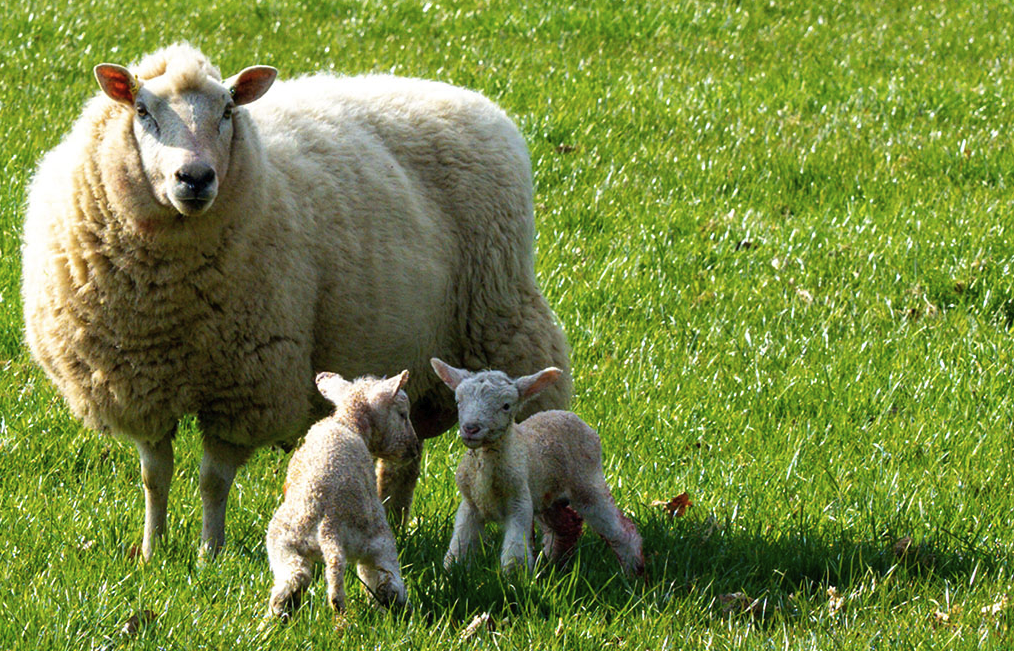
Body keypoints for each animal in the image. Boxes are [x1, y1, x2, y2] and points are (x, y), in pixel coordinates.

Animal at [19, 41, 571, 559]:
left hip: (504, 321)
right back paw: (391, 522)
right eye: (142, 110)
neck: (169, 302)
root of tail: (467, 98)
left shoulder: (246, 386)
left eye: (228, 110)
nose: (195, 178)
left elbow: (212, 480)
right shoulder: (141, 385)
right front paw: (154, 551)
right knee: (404, 456)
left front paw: (209, 553)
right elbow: (155, 477)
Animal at [267, 367, 417, 616]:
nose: (414, 449)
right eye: (403, 414)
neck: (347, 422)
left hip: (283, 540)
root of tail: (331, 528)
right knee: (386, 583)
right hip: (378, 542)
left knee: (294, 578)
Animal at [427, 356, 640, 575]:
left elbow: (515, 551)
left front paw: (514, 578)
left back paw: (633, 569)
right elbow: (460, 545)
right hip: (547, 497)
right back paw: (555, 564)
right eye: (458, 401)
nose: (471, 428)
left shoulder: (519, 501)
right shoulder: (470, 505)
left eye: (506, 406)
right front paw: (451, 571)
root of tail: (568, 415)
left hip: (588, 484)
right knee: (566, 525)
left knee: (620, 529)